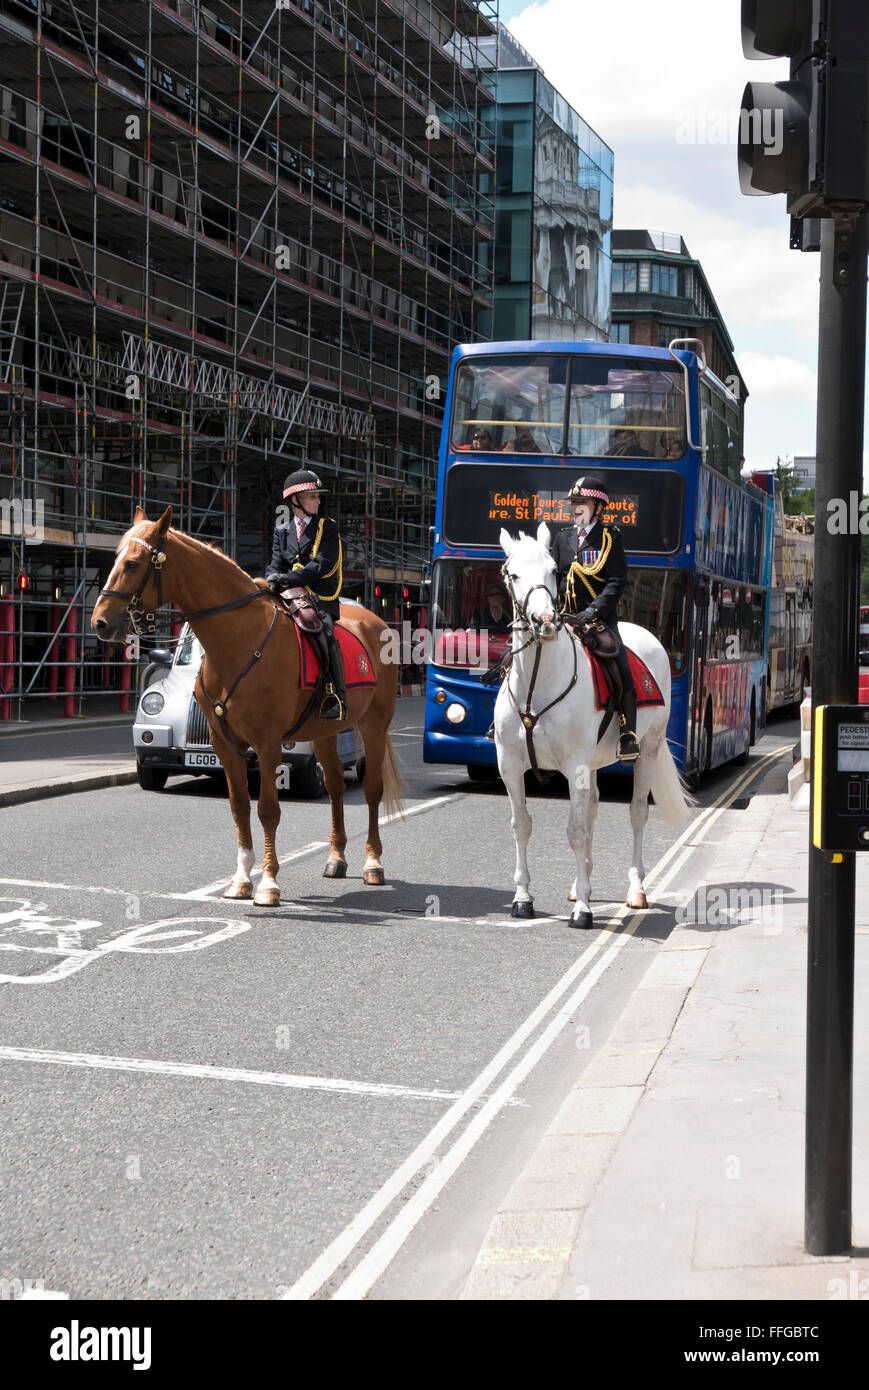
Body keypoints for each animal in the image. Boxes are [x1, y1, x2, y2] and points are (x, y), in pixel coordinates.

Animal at [91, 505, 403, 906]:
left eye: (132, 564)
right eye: (115, 559)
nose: (100, 621)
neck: (238, 642)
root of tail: (374, 620)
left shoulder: (269, 743)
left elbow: (268, 809)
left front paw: (268, 882)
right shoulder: (225, 744)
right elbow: (239, 806)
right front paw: (241, 879)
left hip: (373, 725)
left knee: (371, 789)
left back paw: (373, 863)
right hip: (324, 732)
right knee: (334, 785)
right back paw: (336, 858)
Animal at [494, 525, 692, 928]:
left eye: (554, 571)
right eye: (514, 574)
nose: (546, 622)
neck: (537, 684)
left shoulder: (576, 767)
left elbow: (575, 831)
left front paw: (583, 909)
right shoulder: (510, 765)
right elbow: (522, 825)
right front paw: (523, 899)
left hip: (646, 750)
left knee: (636, 813)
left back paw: (636, 889)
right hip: (595, 762)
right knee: (593, 808)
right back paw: (578, 882)